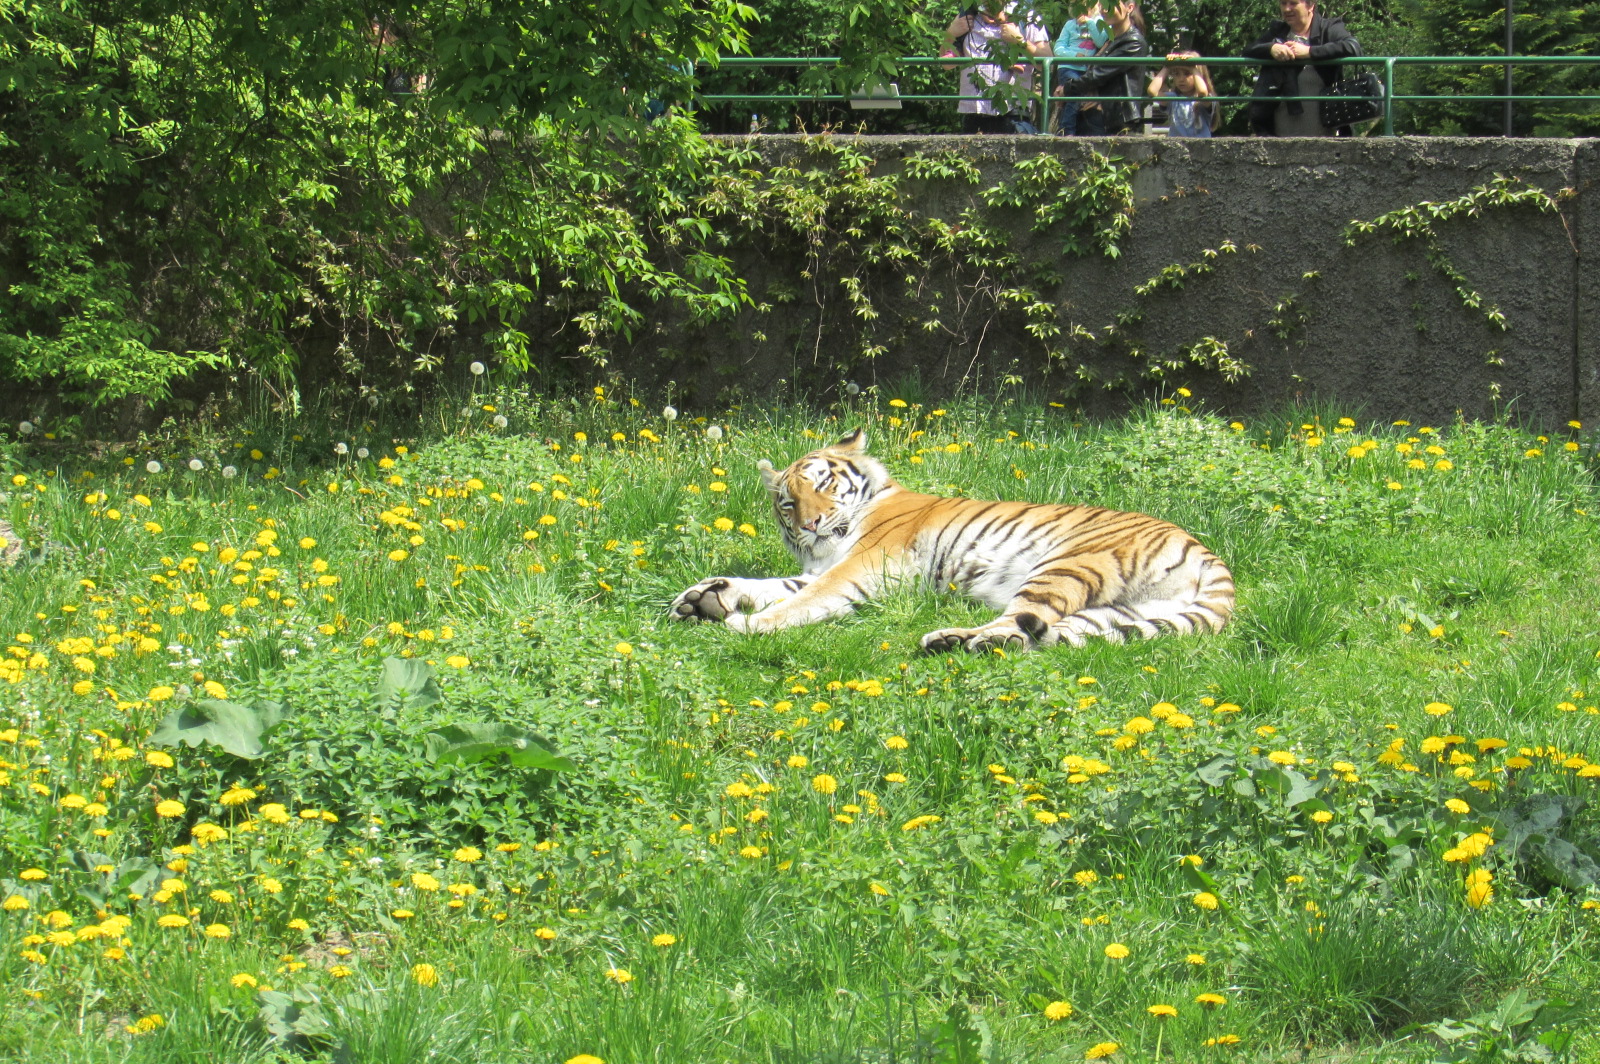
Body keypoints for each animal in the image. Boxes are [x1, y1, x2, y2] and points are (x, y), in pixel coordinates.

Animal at [669, 429, 1234, 652]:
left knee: (1019, 626)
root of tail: (1205, 550)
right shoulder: (825, 566)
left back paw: (959, 640)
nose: (810, 525)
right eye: (788, 503)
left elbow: (801, 599)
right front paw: (703, 597)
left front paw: (748, 624)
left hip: (1069, 564)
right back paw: (955, 641)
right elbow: (774, 584)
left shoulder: (860, 565)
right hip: (1121, 614)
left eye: (824, 484)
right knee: (1045, 636)